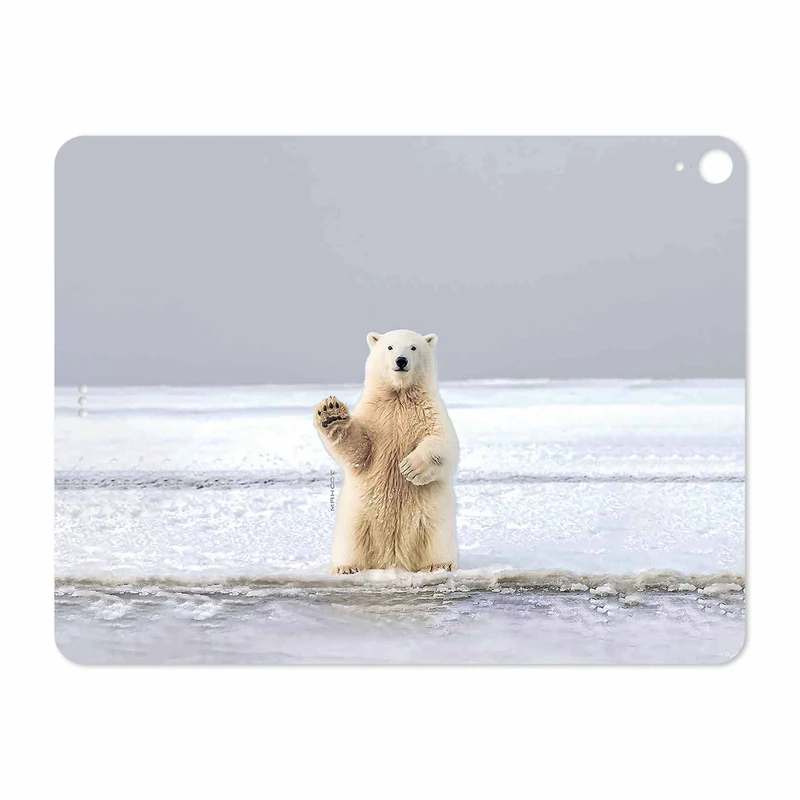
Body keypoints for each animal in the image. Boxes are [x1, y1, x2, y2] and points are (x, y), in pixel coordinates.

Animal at [314, 329, 459, 574]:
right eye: (390, 347)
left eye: (413, 347)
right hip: (357, 517)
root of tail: (393, 559)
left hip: (434, 517)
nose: (401, 361)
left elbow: (445, 443)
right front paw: (331, 413)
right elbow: (358, 449)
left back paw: (439, 565)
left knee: (436, 537)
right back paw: (346, 567)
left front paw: (410, 467)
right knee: (351, 541)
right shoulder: (375, 415)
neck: (399, 395)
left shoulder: (430, 411)